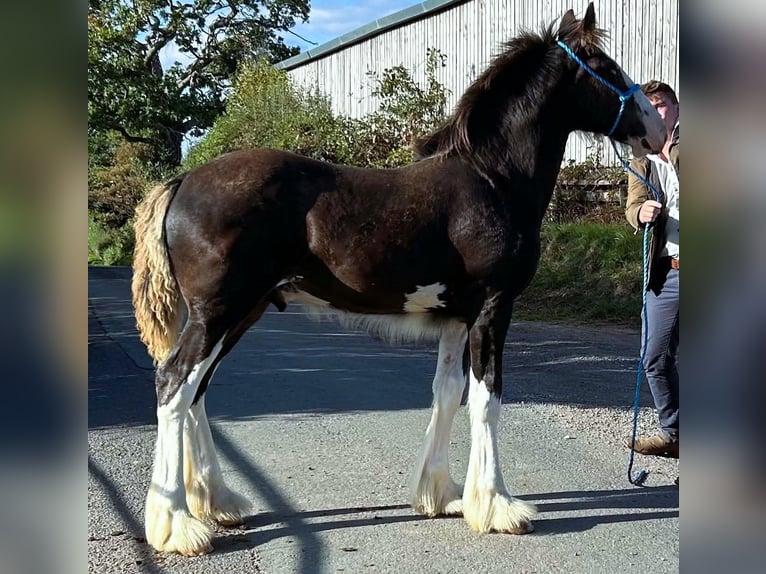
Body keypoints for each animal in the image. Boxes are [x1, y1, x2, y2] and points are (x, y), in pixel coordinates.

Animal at [131, 3, 665, 555]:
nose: (655, 128)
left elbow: (448, 393)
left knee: (197, 392)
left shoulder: (456, 319)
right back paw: (177, 524)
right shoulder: (493, 309)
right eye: (604, 67)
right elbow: (488, 400)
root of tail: (182, 182)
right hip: (219, 313)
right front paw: (498, 507)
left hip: (240, 313)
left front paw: (443, 495)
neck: (491, 179)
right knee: (174, 385)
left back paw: (217, 502)